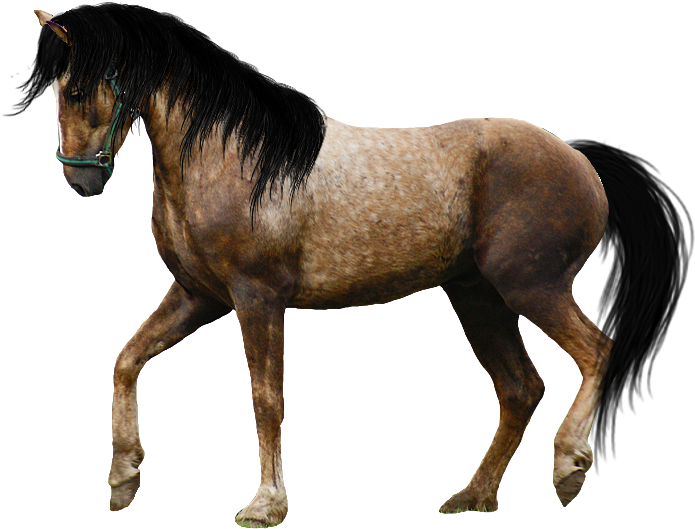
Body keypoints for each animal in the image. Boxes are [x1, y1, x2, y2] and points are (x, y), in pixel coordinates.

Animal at [29, 5, 677, 527]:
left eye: (80, 90)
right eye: (56, 91)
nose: (82, 182)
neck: (233, 156)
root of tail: (582, 161)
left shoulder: (256, 299)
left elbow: (266, 396)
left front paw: (265, 505)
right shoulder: (197, 297)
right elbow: (127, 360)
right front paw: (123, 478)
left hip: (532, 289)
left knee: (595, 351)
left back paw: (569, 467)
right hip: (478, 298)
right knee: (520, 388)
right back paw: (472, 497)